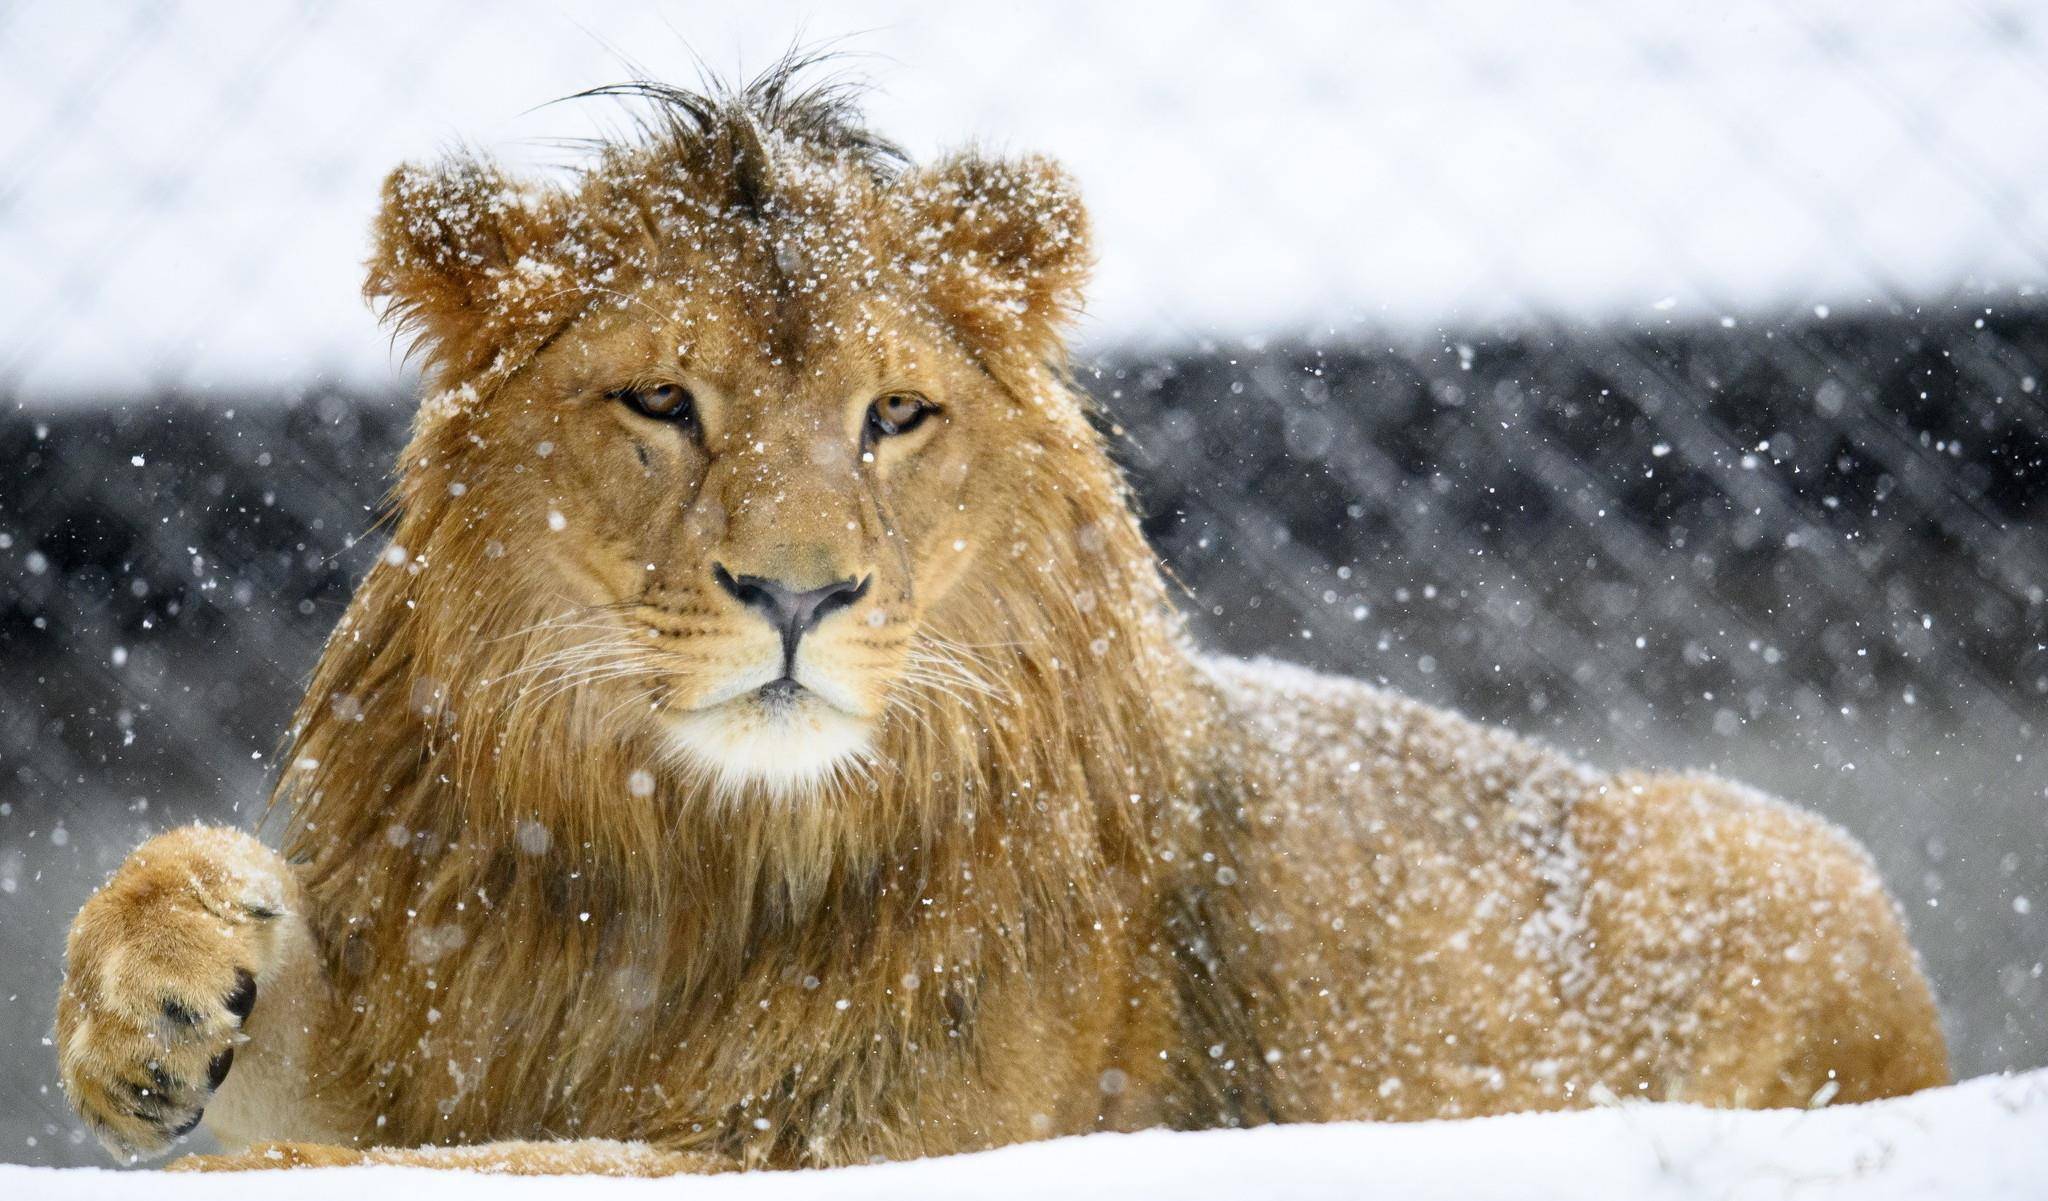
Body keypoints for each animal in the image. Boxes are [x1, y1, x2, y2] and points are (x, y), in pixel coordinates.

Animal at [51, 63, 1949, 1172]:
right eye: (660, 400)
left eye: (895, 415)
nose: (799, 589)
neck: (687, 862)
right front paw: (160, 993)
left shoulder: (905, 1141)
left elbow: (532, 1163)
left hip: (1786, 853)